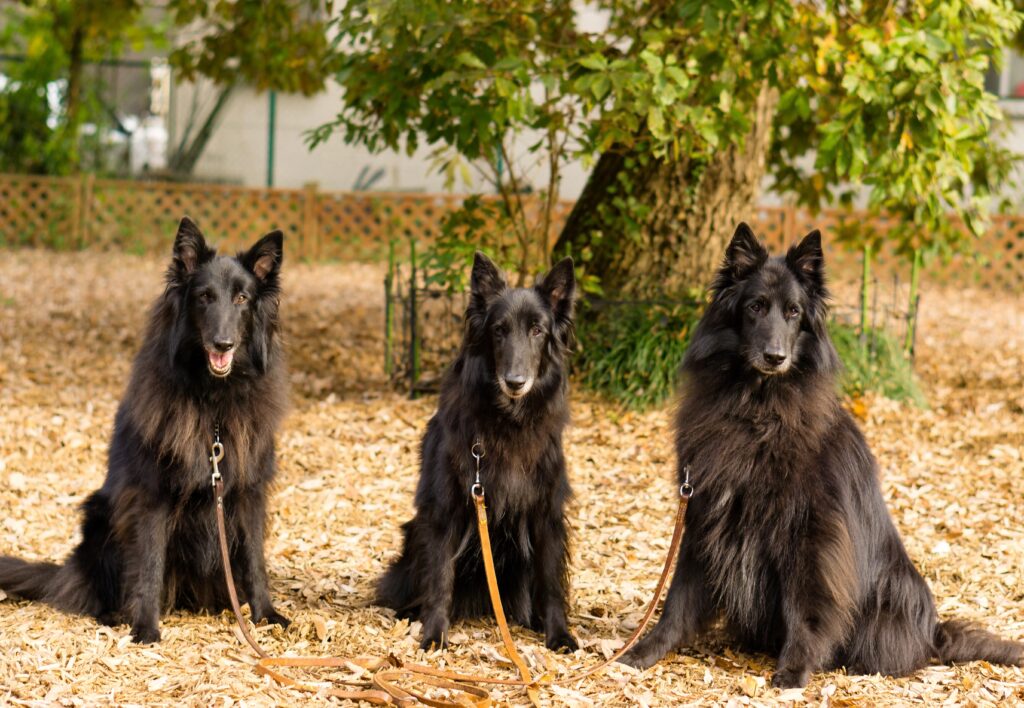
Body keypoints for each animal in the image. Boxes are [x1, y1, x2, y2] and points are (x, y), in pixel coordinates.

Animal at [378, 251, 581, 651]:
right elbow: (440, 576)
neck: (507, 422)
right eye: (499, 330)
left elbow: (551, 582)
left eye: (537, 330)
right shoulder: (445, 511)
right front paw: (434, 634)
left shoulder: (546, 514)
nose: (515, 382)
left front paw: (559, 633)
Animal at [618, 223, 1019, 688]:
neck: (758, 408)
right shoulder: (703, 515)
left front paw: (794, 670)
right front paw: (643, 651)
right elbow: (676, 600)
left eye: (794, 312)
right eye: (755, 307)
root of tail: (932, 636)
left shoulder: (811, 534)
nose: (775, 357)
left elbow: (806, 606)